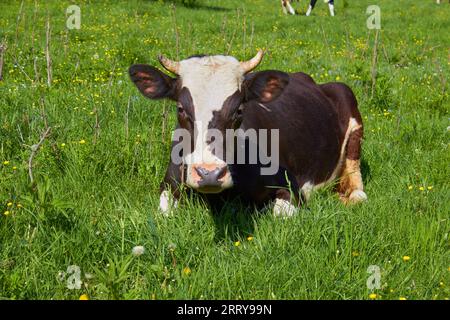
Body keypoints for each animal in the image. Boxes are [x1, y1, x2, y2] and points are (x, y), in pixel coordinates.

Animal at [128, 52, 368, 218]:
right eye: (180, 108)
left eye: (239, 110)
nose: (209, 174)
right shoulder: (169, 184)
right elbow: (165, 212)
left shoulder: (292, 187)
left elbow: (280, 214)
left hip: (349, 105)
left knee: (357, 185)